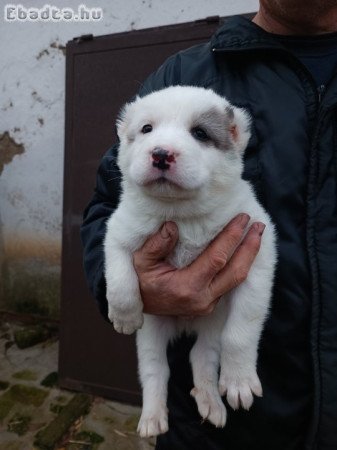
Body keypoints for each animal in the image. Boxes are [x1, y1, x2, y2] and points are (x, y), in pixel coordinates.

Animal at [103, 84, 276, 436]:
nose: (161, 153)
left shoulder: (258, 256)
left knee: (203, 356)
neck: (181, 215)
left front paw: (238, 380)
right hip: (152, 332)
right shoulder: (118, 232)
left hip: (213, 326)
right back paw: (153, 416)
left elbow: (242, 329)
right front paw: (124, 315)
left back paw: (211, 400)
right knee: (156, 369)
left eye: (200, 133)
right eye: (146, 129)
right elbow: (120, 279)